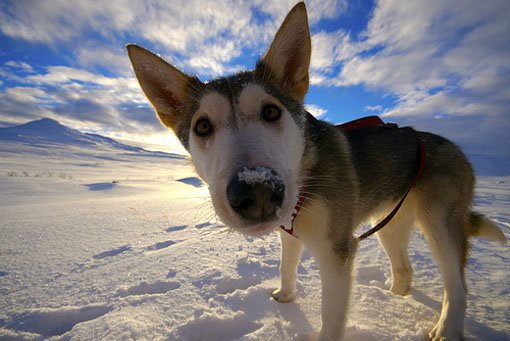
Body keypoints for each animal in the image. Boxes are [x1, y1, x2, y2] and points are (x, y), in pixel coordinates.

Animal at [127, 1, 506, 338]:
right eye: (203, 126)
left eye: (271, 111)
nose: (257, 191)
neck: (305, 180)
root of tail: (455, 147)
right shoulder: (290, 233)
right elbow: (285, 268)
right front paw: (285, 297)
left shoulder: (337, 252)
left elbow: (331, 317)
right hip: (389, 225)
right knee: (405, 270)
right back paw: (391, 298)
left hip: (440, 226)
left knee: (458, 288)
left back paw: (446, 329)